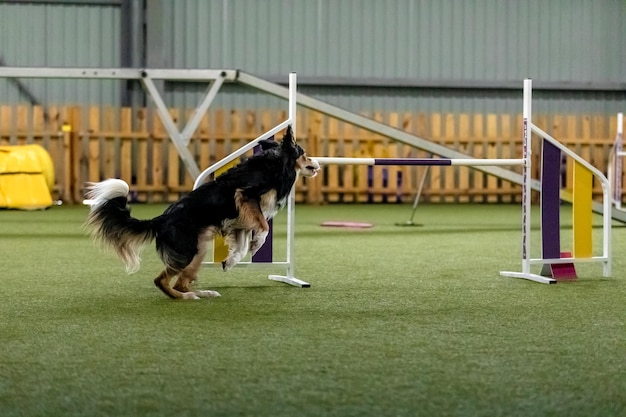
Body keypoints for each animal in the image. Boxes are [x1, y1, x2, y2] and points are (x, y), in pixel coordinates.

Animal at [84, 127, 316, 300]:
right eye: (304, 154)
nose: (317, 163)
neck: (275, 163)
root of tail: (161, 219)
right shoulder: (246, 197)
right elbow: (264, 227)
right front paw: (256, 243)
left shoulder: (240, 220)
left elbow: (241, 247)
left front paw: (230, 261)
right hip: (187, 250)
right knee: (161, 280)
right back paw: (186, 297)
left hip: (199, 249)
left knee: (181, 282)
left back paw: (203, 293)